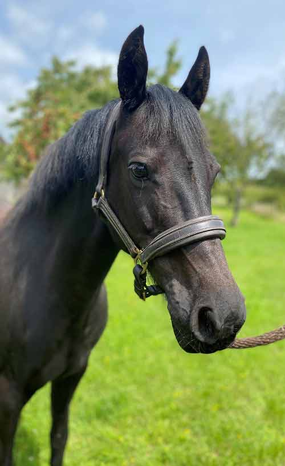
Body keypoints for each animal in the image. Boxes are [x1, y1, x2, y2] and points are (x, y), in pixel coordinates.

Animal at [0, 27, 244, 466]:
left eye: (214, 171)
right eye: (139, 169)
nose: (224, 316)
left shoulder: (70, 378)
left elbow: (58, 437)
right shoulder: (8, 396)